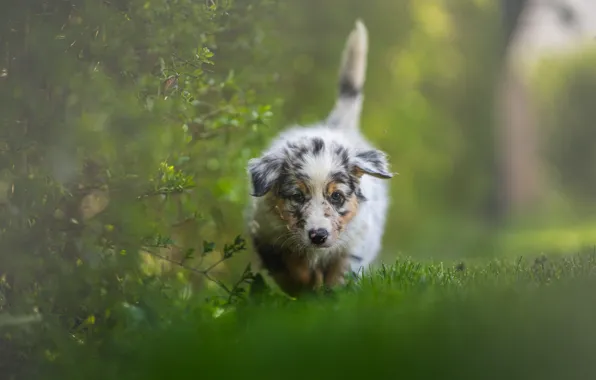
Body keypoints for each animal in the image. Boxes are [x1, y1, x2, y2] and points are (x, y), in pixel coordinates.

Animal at [244, 19, 394, 296]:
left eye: (336, 197)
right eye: (297, 196)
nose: (318, 236)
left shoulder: (353, 244)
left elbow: (339, 276)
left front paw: (329, 295)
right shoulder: (267, 236)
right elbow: (293, 272)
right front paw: (306, 289)